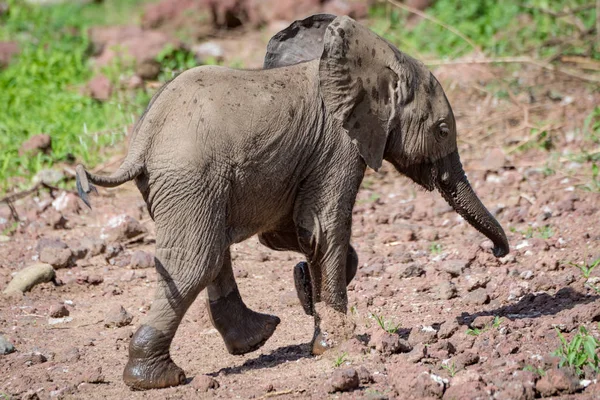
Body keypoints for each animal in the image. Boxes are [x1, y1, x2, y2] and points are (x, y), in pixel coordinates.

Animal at [75, 14, 506, 390]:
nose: (500, 252)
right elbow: (323, 228)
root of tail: (142, 139)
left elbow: (295, 233)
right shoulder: (339, 145)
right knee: (196, 260)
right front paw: (338, 344)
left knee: (213, 249)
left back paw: (254, 338)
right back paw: (158, 379)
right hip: (190, 175)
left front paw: (306, 289)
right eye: (443, 129)